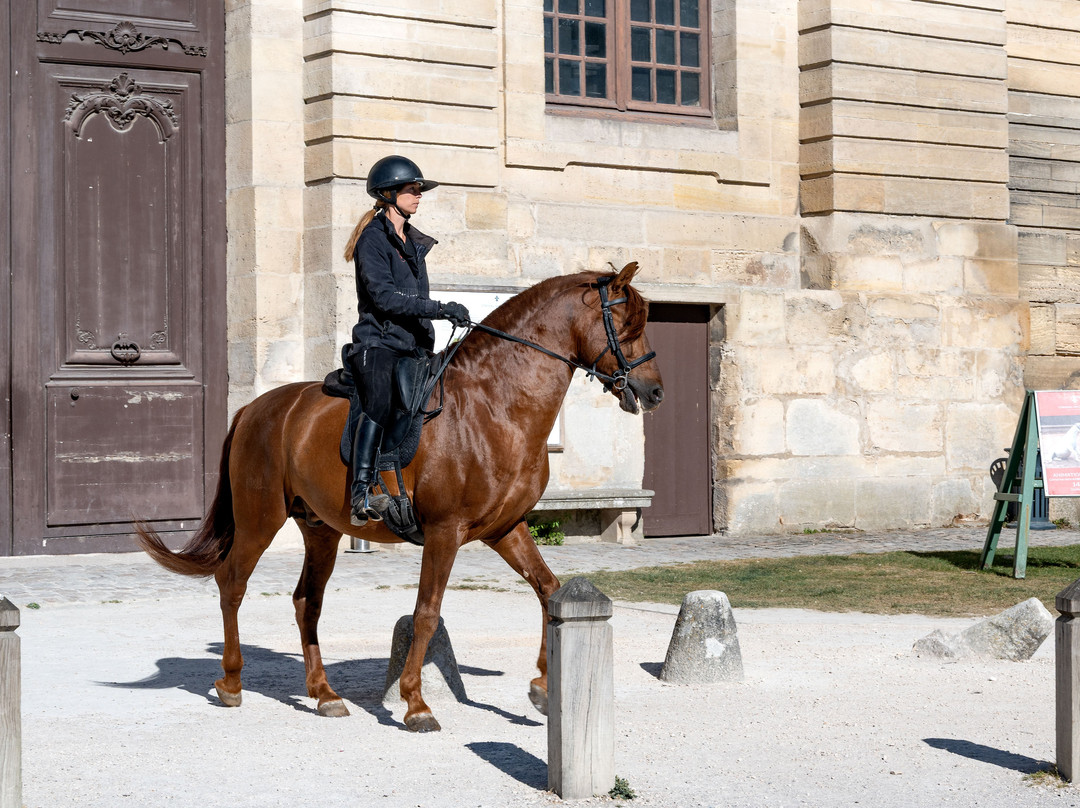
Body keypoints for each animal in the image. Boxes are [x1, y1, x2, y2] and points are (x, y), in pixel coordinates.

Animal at [137, 261, 664, 732]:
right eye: (625, 323)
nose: (654, 392)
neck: (496, 404)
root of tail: (254, 408)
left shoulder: (505, 529)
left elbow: (549, 590)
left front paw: (542, 688)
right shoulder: (444, 532)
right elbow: (426, 613)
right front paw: (416, 704)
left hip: (321, 531)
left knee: (307, 601)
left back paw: (324, 694)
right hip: (259, 520)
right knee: (232, 584)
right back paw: (231, 683)